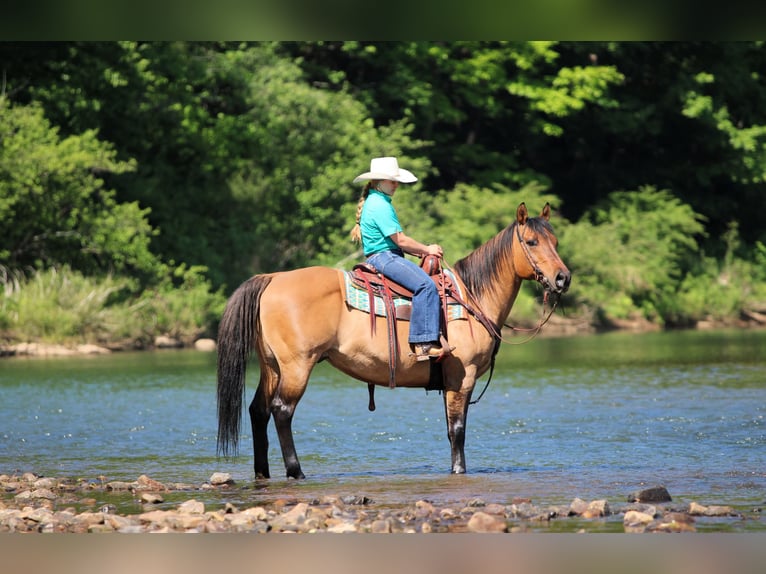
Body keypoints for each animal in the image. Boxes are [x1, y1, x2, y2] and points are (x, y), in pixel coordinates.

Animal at [216, 202, 571, 478]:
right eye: (531, 241)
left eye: (555, 240)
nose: (562, 278)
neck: (473, 297)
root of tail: (272, 278)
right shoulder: (462, 377)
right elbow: (458, 431)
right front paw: (459, 471)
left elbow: (449, 431)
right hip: (296, 367)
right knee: (281, 411)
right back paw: (295, 471)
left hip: (271, 366)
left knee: (258, 411)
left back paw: (262, 472)